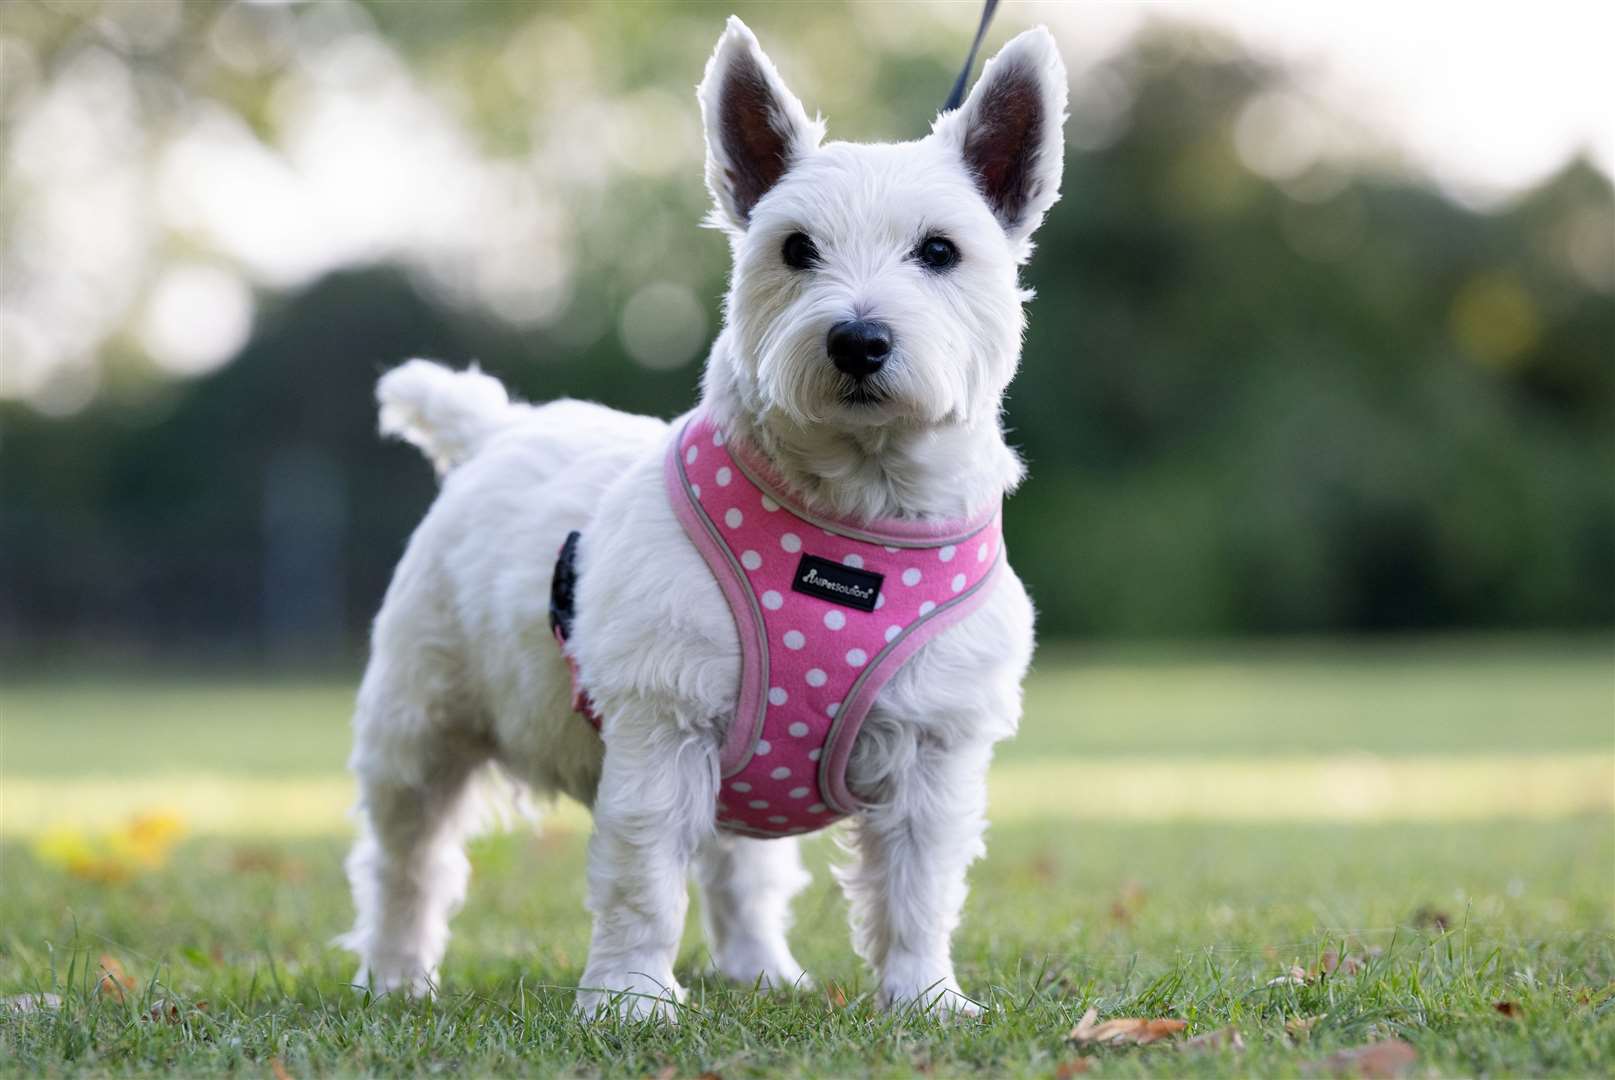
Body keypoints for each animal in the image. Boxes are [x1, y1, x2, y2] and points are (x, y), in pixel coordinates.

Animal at [340, 12, 1065, 1013]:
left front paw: (925, 998)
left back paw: (762, 970)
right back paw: (395, 977)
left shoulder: (935, 745)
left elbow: (917, 888)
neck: (856, 515)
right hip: (422, 720)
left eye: (939, 250)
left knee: (741, 871)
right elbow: (642, 876)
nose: (858, 340)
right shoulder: (662, 719)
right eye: (795, 248)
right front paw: (630, 1000)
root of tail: (494, 428)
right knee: (406, 857)